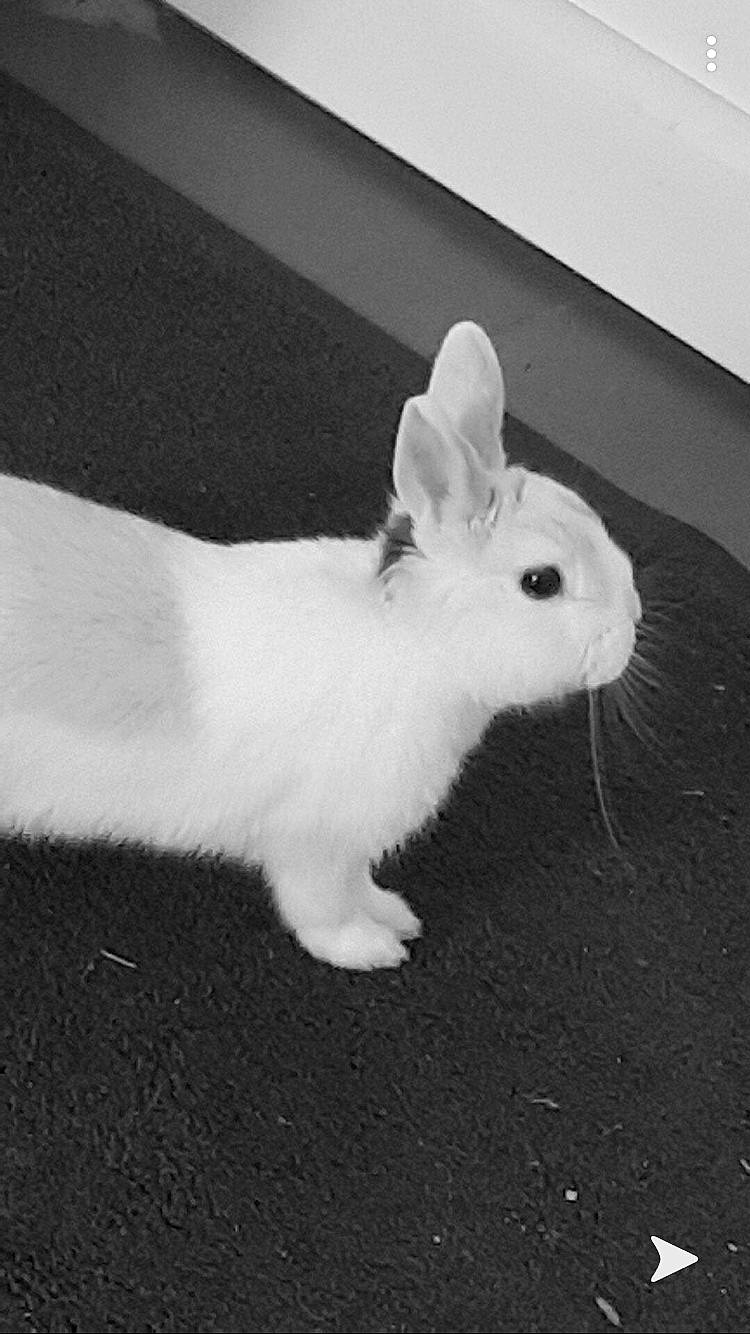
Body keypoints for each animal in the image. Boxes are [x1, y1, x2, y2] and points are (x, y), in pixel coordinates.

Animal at [0, 321, 641, 970]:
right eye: (541, 582)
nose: (630, 627)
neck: (412, 639)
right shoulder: (316, 842)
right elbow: (322, 907)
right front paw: (372, 950)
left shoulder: (351, 848)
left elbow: (361, 886)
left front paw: (394, 913)